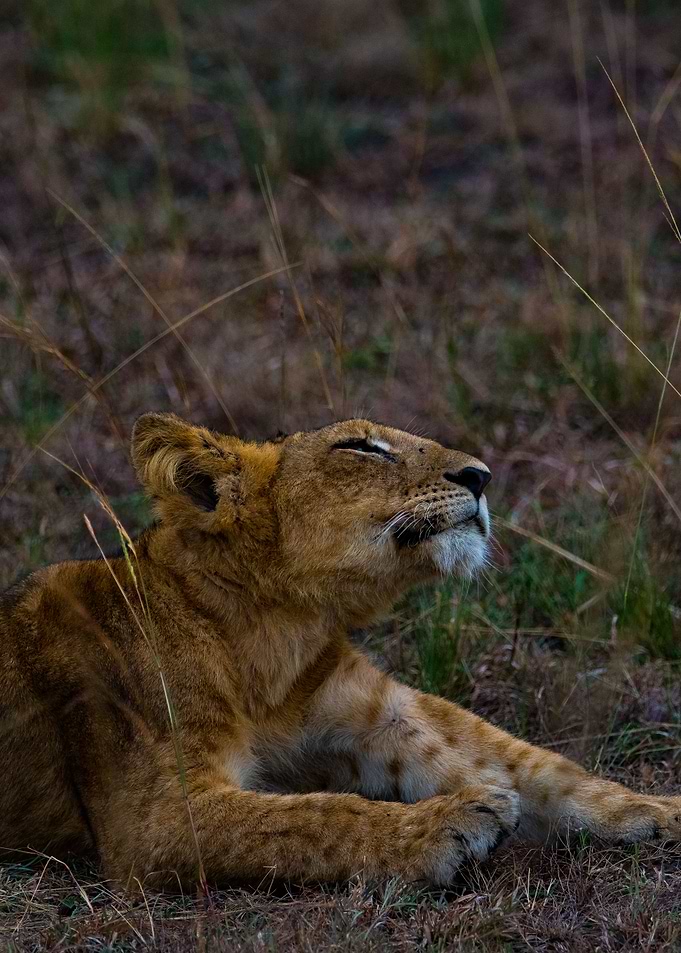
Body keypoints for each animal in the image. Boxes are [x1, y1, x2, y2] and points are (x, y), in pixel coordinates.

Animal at [0, 414, 679, 888]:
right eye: (361, 447)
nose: (482, 477)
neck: (273, 637)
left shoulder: (382, 715)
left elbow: (527, 763)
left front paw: (657, 809)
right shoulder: (151, 819)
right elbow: (309, 818)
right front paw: (450, 823)